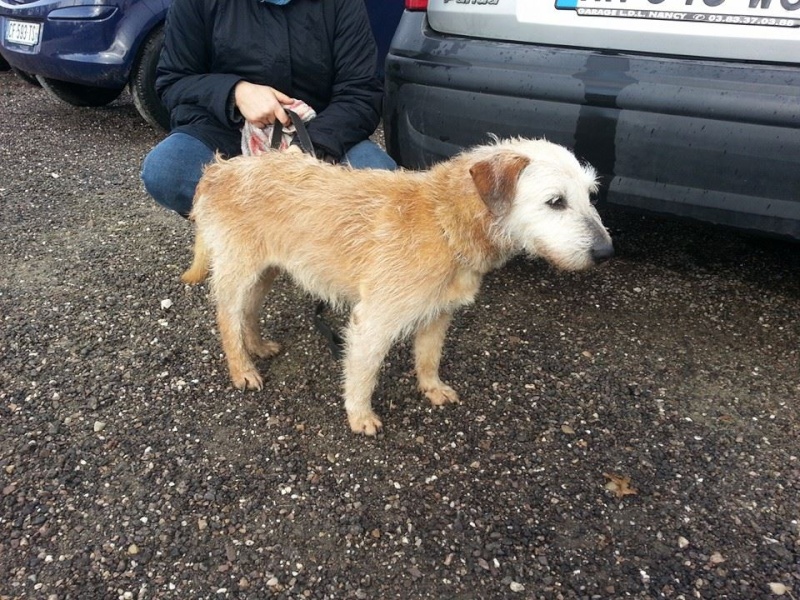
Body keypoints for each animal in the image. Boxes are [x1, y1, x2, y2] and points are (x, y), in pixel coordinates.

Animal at [180, 138, 612, 434]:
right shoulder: (374, 320)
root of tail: (217, 170)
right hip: (239, 267)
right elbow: (363, 372)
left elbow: (429, 357)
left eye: (590, 195)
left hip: (266, 269)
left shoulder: (439, 313)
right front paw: (360, 415)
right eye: (555, 201)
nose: (606, 251)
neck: (445, 220)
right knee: (227, 316)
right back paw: (242, 368)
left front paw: (431, 388)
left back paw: (256, 345)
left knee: (249, 309)